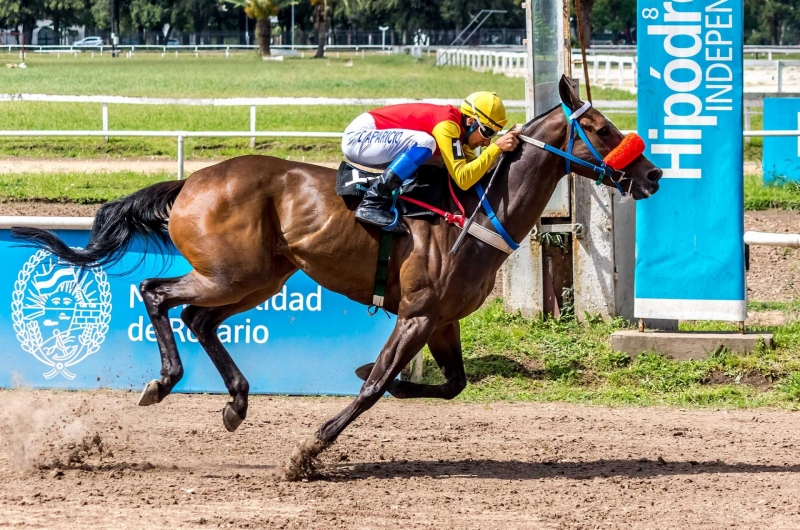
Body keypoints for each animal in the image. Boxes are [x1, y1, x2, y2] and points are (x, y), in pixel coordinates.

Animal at [12, 76, 664, 476]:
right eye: (602, 129)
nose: (653, 175)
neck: (479, 210)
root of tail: (191, 182)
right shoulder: (418, 313)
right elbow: (374, 386)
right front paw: (309, 449)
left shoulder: (441, 318)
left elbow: (448, 384)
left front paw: (374, 379)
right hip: (231, 273)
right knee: (157, 293)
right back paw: (164, 382)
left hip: (260, 279)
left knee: (197, 317)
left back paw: (236, 402)